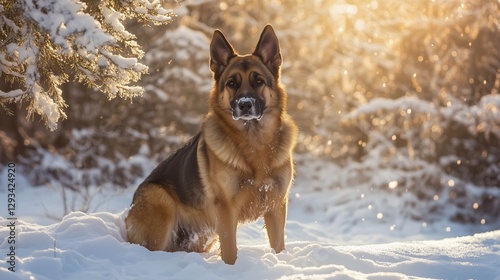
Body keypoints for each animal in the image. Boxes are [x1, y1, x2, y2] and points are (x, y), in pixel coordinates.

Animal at [126, 25, 296, 264]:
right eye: (232, 83)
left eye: (258, 81)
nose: (245, 105)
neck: (254, 141)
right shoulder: (226, 209)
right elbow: (230, 251)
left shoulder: (276, 206)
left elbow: (278, 245)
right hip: (160, 199)